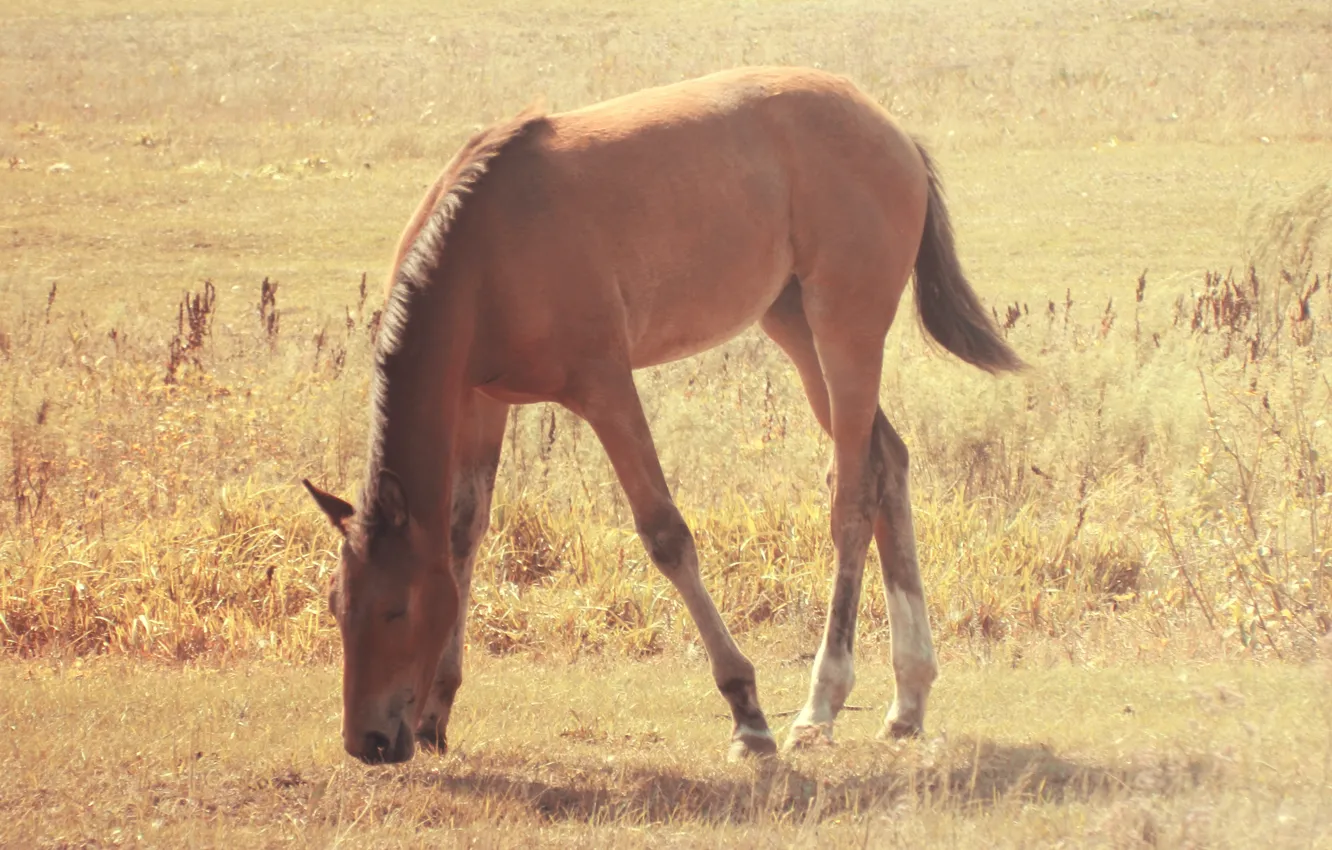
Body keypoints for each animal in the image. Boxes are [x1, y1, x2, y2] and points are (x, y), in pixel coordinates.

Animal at [303, 66, 1023, 765]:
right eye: (338, 607)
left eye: (396, 610)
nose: (368, 743)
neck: (488, 247)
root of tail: (890, 129)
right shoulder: (480, 401)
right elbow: (462, 535)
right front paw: (436, 713)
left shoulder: (606, 389)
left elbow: (666, 535)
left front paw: (747, 712)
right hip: (794, 324)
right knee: (887, 462)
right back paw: (907, 702)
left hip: (845, 329)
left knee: (851, 495)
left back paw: (820, 706)